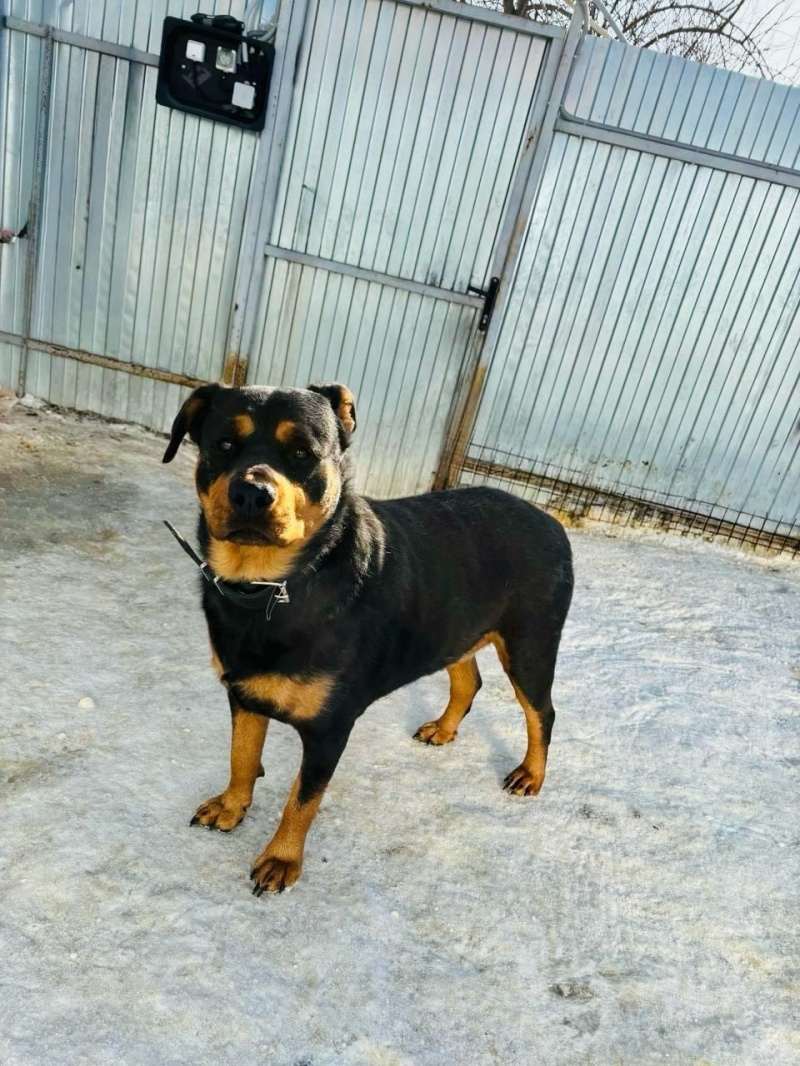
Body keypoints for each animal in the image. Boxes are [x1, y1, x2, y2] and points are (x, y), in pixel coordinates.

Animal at [162, 382, 573, 894]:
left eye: (302, 453)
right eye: (223, 445)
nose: (251, 493)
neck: (273, 587)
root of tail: (553, 521)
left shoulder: (330, 726)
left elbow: (302, 798)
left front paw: (281, 858)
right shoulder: (242, 691)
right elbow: (241, 753)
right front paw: (231, 805)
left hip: (530, 642)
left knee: (542, 712)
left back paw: (530, 774)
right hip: (454, 624)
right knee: (469, 679)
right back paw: (444, 728)